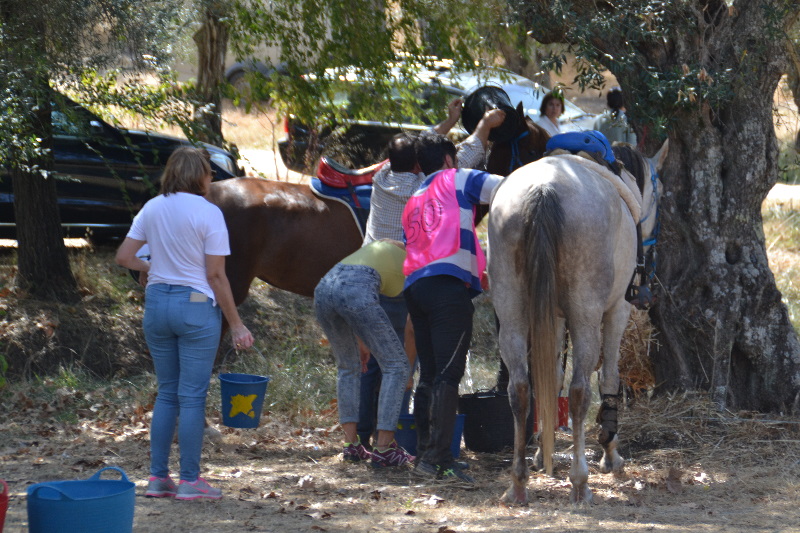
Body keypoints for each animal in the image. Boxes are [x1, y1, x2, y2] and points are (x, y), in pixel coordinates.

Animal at [488, 140, 668, 502]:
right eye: (661, 198)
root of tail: (544, 189)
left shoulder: (553, 318)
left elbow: (552, 379)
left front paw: (541, 453)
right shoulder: (617, 310)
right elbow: (610, 378)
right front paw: (610, 452)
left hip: (512, 311)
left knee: (521, 387)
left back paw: (518, 481)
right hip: (586, 314)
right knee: (580, 391)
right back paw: (580, 480)